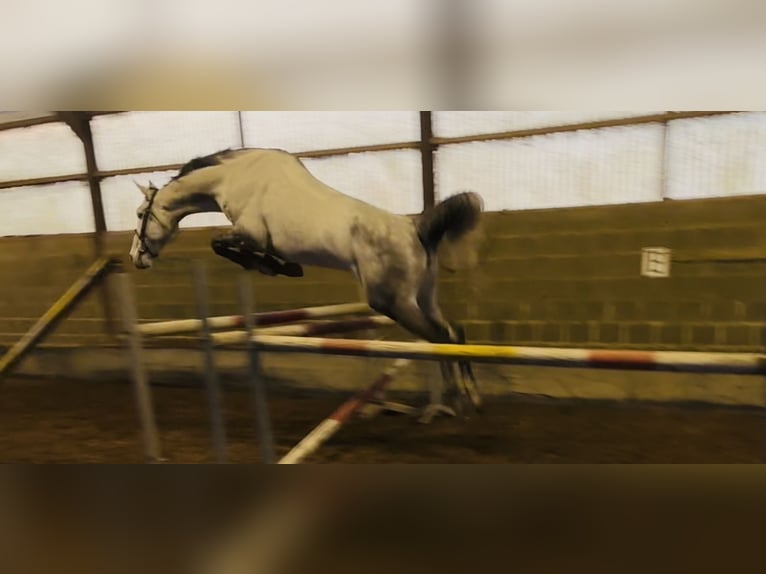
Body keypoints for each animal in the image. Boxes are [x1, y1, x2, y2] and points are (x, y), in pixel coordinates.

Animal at [129, 147, 483, 420]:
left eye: (139, 214)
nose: (135, 258)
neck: (232, 177)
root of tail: (417, 230)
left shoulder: (250, 233)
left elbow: (220, 244)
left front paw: (276, 266)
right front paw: (281, 266)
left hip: (392, 302)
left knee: (439, 337)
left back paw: (458, 396)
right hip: (423, 297)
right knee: (453, 332)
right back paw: (470, 396)